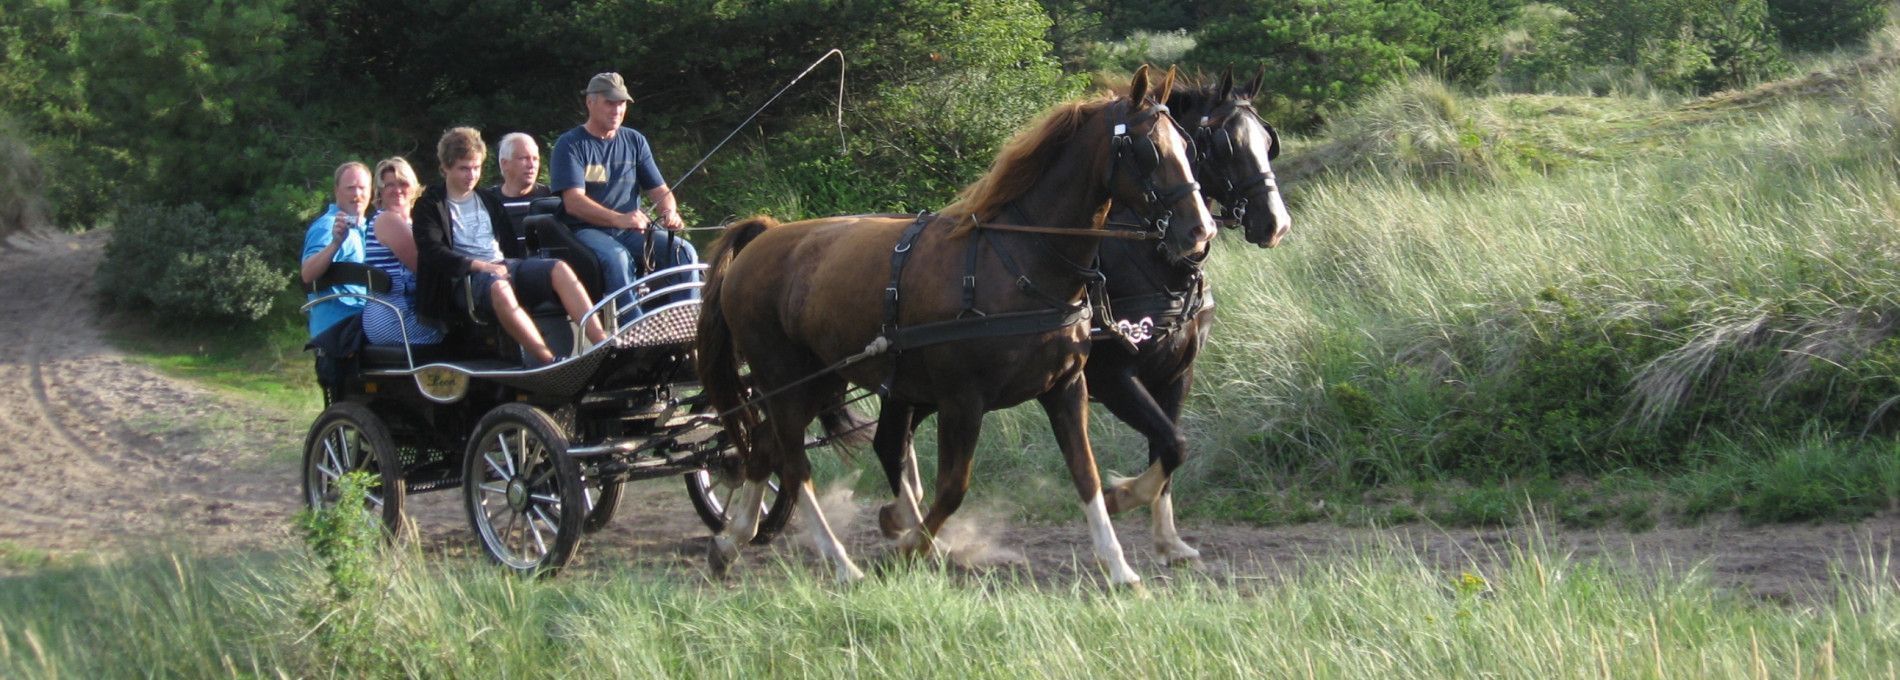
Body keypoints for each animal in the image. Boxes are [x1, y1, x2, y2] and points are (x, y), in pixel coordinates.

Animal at [703, 65, 1216, 585]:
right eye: (1148, 148)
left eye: (1188, 146)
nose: (1200, 231)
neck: (1016, 261)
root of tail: (761, 240)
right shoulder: (963, 400)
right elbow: (952, 488)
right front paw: (910, 546)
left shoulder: (1067, 387)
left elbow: (1088, 474)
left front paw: (1119, 564)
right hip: (788, 380)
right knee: (793, 461)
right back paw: (841, 561)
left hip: (825, 380)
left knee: (766, 447)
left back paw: (731, 541)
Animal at [870, 68, 1292, 569]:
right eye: (1223, 143)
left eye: (1267, 141)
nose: (1276, 223)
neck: (1148, 260)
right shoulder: (1113, 378)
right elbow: (1173, 445)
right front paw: (1120, 497)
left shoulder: (1176, 375)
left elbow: (1168, 450)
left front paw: (1168, 540)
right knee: (891, 441)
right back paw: (906, 521)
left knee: (895, 440)